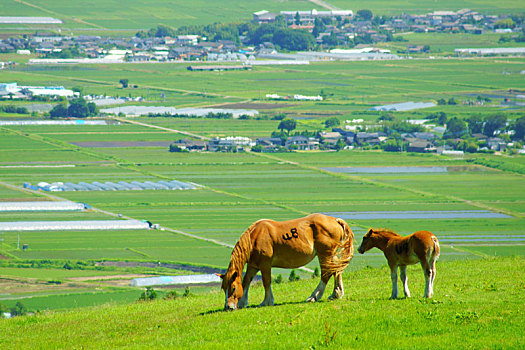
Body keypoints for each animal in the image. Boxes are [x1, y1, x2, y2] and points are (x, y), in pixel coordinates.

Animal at [217, 213, 352, 308]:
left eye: (233, 288)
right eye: (224, 288)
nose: (228, 307)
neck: (255, 237)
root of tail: (335, 220)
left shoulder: (265, 265)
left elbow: (266, 282)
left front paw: (267, 302)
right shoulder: (253, 265)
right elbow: (246, 281)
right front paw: (242, 303)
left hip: (325, 254)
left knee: (326, 274)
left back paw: (314, 296)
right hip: (331, 255)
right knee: (337, 271)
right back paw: (336, 294)